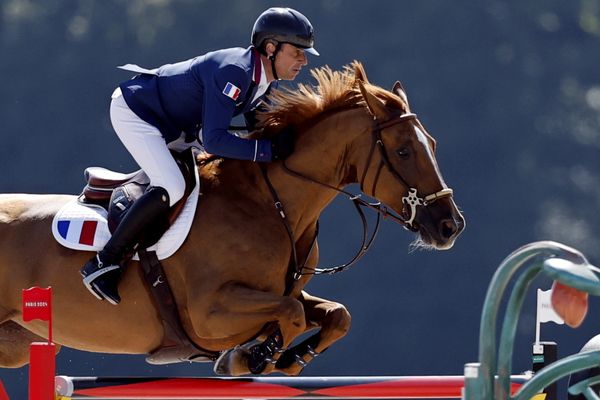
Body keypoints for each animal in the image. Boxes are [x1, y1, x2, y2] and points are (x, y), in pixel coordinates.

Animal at [0, 61, 464, 376]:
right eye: (403, 151)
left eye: (433, 143)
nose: (450, 226)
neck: (271, 204)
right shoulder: (210, 311)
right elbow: (291, 315)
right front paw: (248, 356)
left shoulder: (283, 292)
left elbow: (334, 314)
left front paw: (288, 357)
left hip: (17, 343)